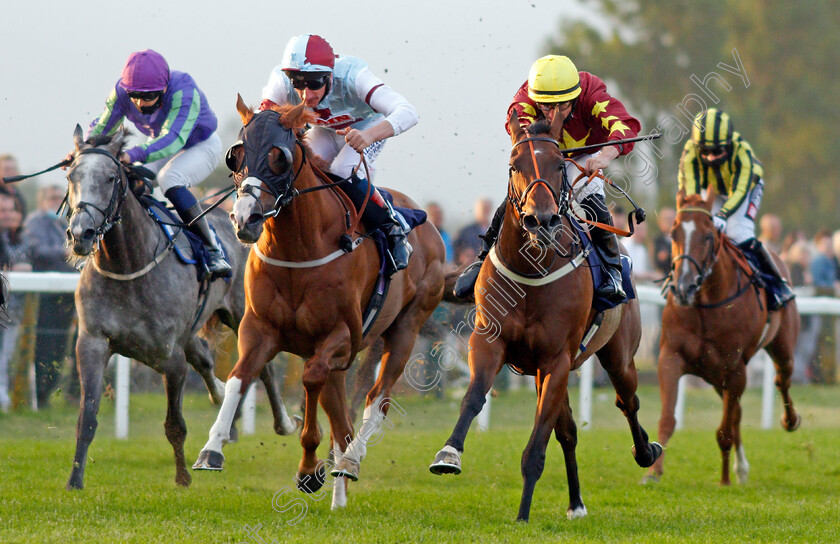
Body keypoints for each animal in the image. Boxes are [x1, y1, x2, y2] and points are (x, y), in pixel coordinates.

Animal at [65, 125, 298, 490]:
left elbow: (175, 423)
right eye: (71, 175)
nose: (81, 234)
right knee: (204, 357)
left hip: (243, 313)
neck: (128, 266)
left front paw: (183, 477)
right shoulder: (92, 343)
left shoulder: (169, 358)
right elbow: (86, 418)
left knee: (263, 368)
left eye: (110, 178)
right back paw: (221, 398)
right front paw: (75, 481)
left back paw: (283, 422)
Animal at [192, 98, 446, 510]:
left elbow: (310, 379)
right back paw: (340, 492)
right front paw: (212, 449)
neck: (298, 249)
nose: (245, 218)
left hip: (406, 328)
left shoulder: (338, 335)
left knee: (377, 399)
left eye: (279, 157)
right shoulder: (259, 328)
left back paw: (352, 461)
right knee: (342, 420)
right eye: (236, 154)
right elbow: (238, 377)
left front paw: (309, 472)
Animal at [434, 111, 664, 524]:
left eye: (560, 165)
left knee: (628, 401)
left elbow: (537, 442)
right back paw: (576, 502)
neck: (532, 272)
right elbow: (474, 397)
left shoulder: (556, 360)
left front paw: (523, 514)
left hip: (618, 356)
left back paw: (645, 453)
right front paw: (449, 453)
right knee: (568, 431)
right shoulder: (489, 341)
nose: (540, 220)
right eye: (514, 165)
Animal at [644, 190, 800, 484]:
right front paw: (653, 473)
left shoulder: (735, 370)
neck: (705, 305)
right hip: (715, 376)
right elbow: (668, 419)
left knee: (781, 379)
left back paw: (790, 420)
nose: (683, 287)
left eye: (708, 236)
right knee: (738, 413)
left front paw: (725, 480)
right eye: (673, 233)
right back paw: (741, 468)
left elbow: (724, 432)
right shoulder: (670, 357)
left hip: (781, 347)